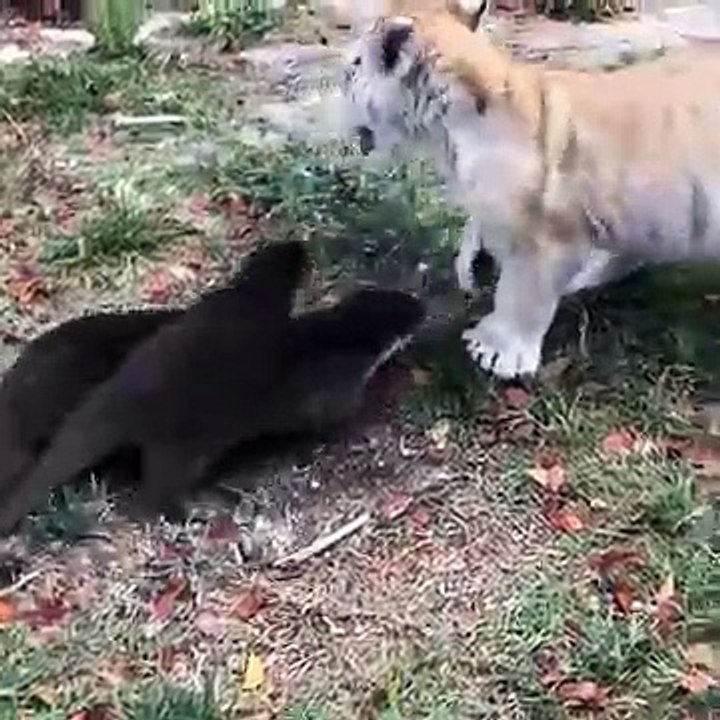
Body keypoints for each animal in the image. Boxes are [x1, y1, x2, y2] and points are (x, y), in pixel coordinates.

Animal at [338, 9, 720, 379]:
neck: (446, 129)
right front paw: (469, 267)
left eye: (352, 68)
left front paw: (498, 350)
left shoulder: (548, 235)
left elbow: (523, 292)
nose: (340, 81)